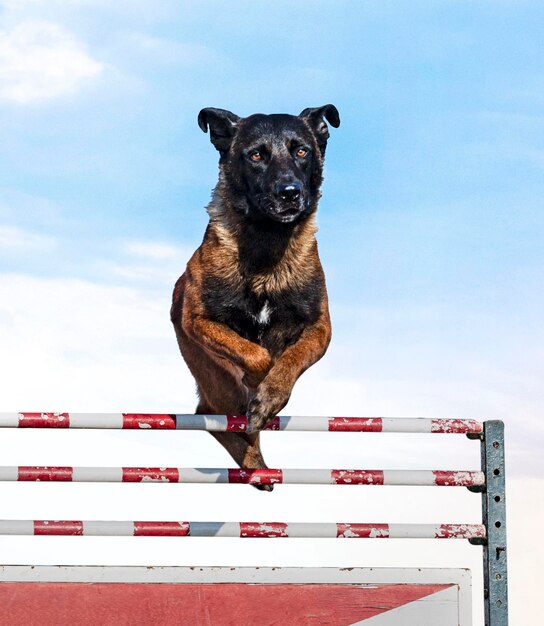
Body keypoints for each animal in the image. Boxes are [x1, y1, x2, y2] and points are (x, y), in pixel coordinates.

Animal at [171, 105, 340, 488]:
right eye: (256, 155)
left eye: (301, 151)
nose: (290, 192)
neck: (267, 242)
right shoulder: (198, 320)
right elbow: (257, 354)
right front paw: (258, 385)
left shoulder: (319, 329)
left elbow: (289, 361)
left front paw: (270, 396)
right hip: (212, 375)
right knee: (212, 414)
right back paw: (254, 461)